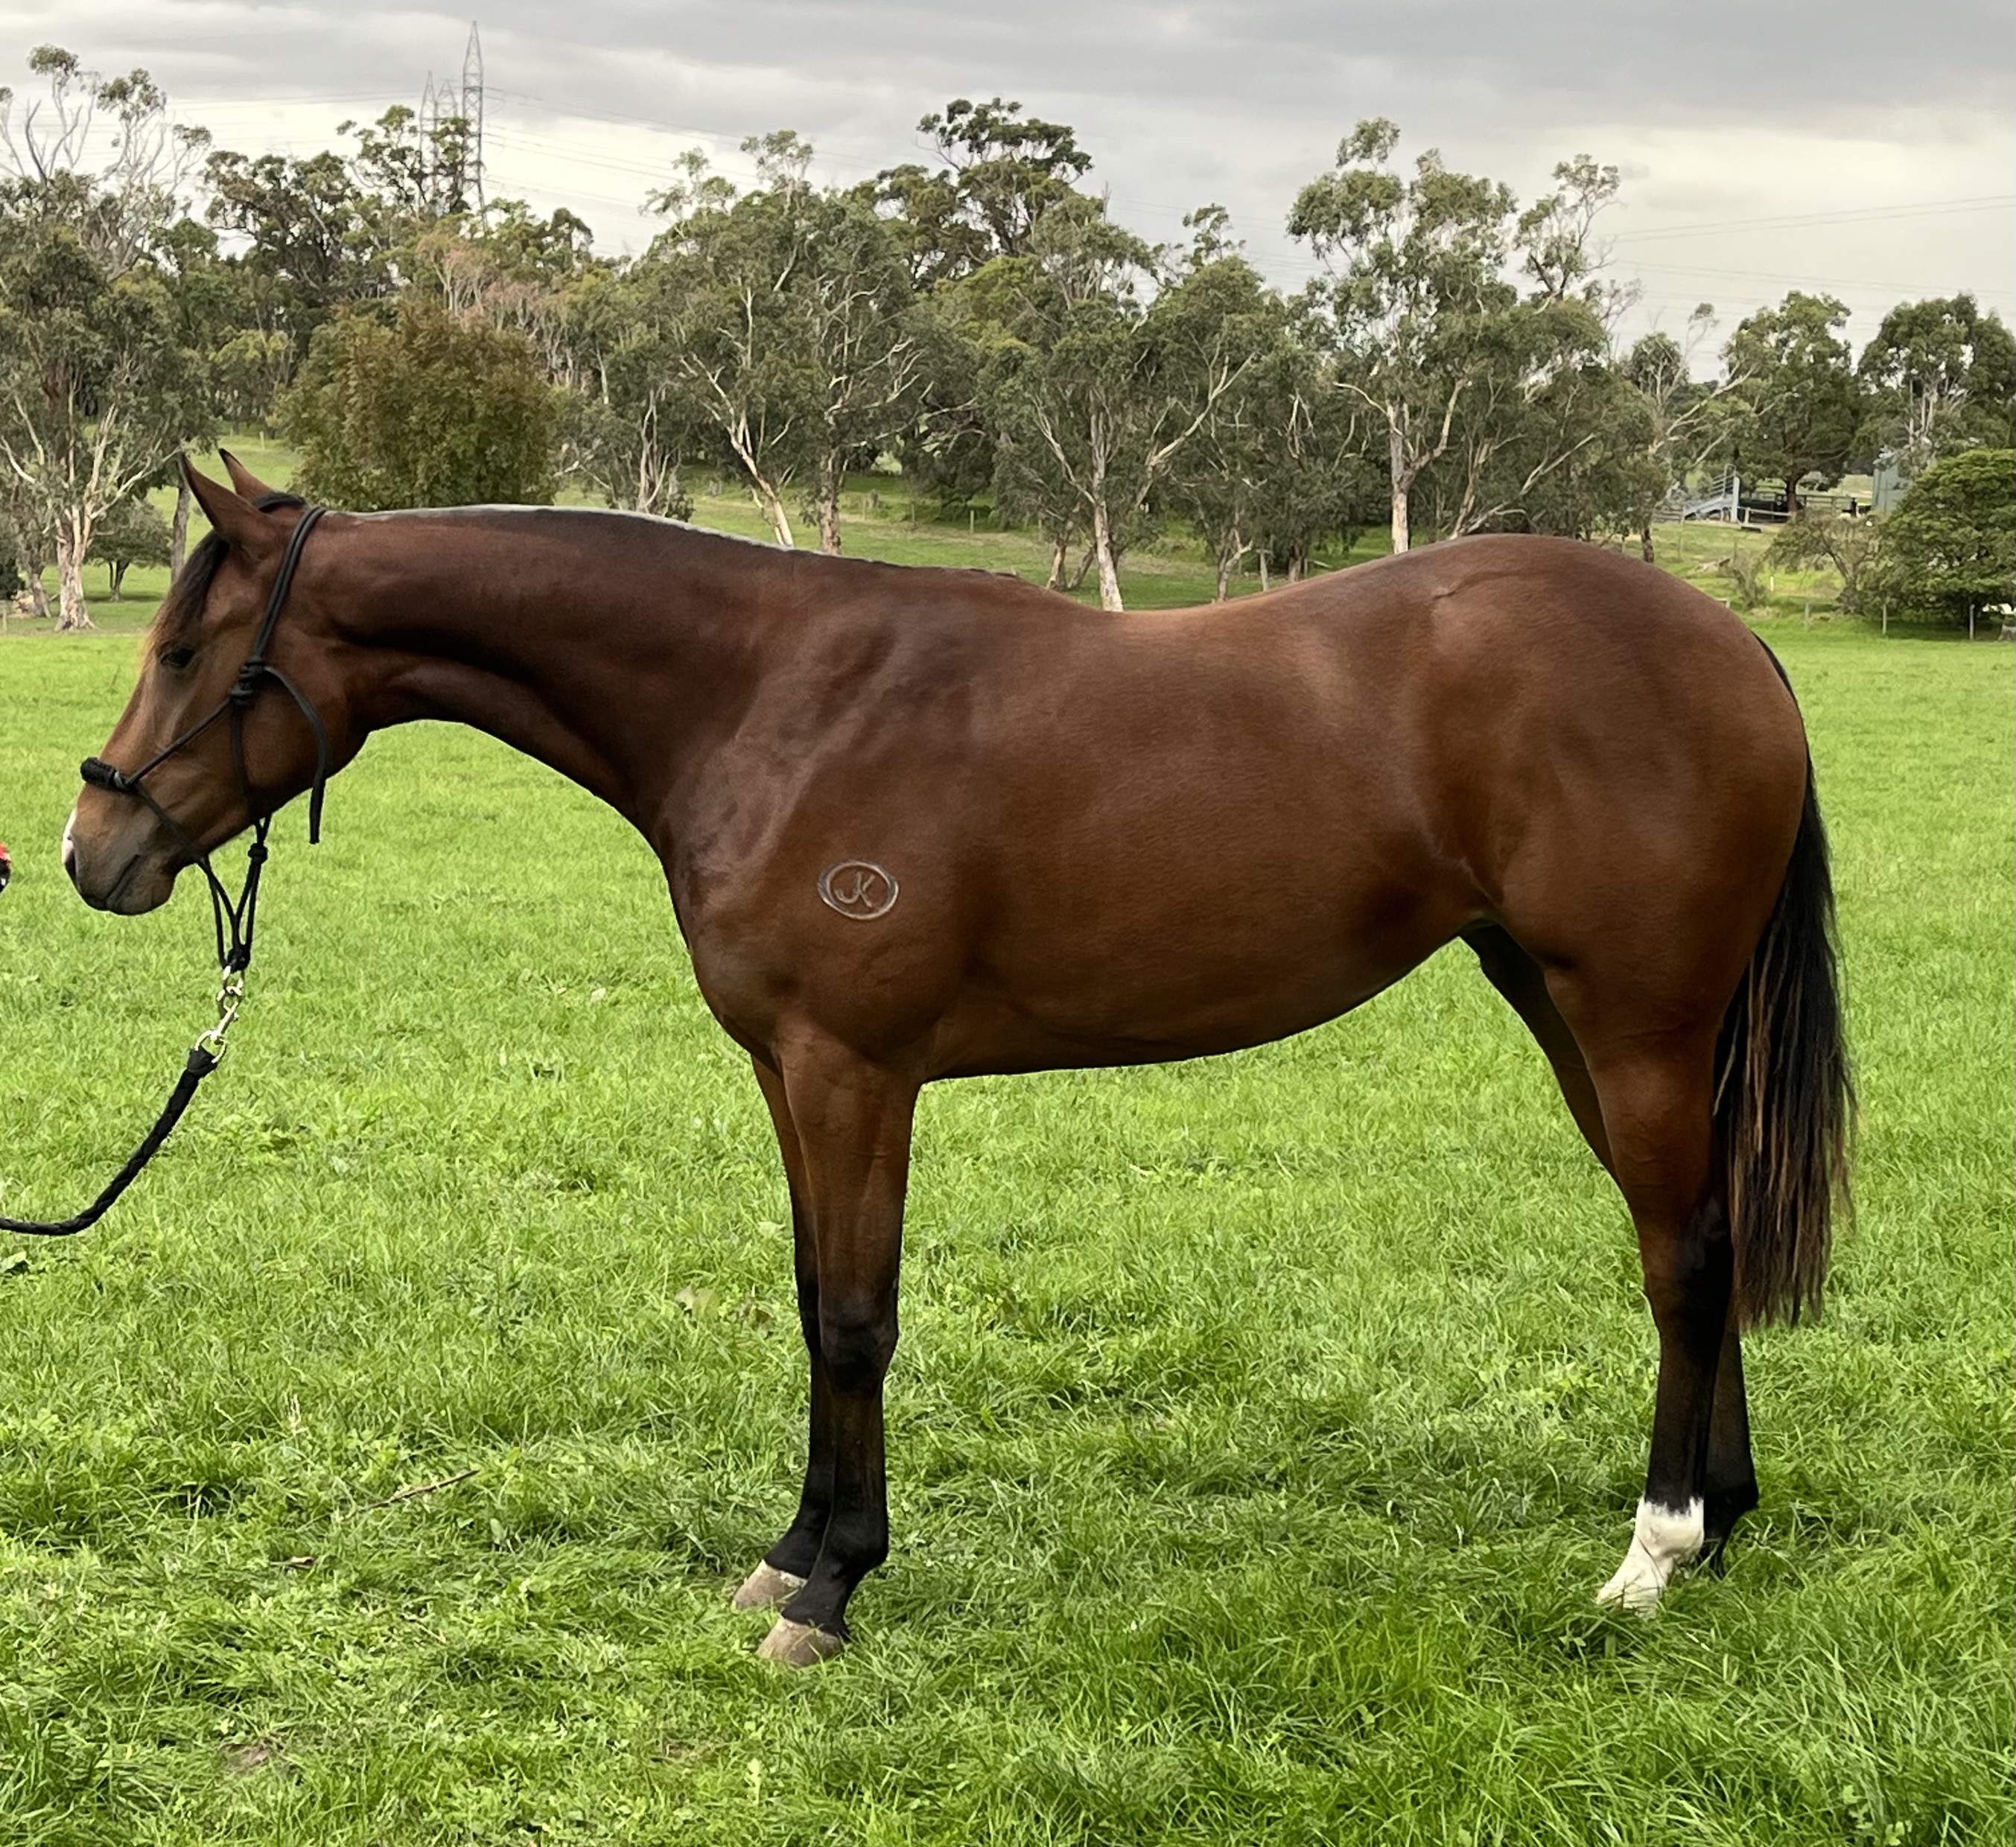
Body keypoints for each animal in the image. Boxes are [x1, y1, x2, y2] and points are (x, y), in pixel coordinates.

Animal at [62, 455, 1850, 1666]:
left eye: (180, 653)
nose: (93, 852)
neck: (773, 698)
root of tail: (1731, 645)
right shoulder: (788, 1071)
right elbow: (808, 1302)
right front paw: (789, 1551)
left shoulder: (856, 1069)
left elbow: (857, 1319)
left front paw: (835, 1588)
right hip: (1570, 1012)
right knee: (1694, 1239)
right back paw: (1722, 1520)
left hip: (1629, 1019)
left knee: (1685, 1258)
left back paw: (1654, 1551)